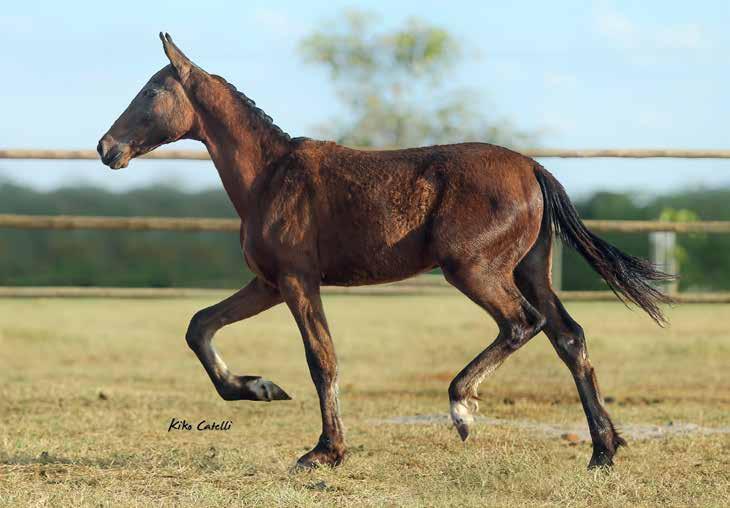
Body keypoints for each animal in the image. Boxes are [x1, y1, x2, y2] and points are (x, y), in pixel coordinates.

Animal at [98, 34, 672, 468]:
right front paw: (259, 388)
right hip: (530, 270)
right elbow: (200, 326)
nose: (107, 148)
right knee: (568, 337)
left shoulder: (297, 280)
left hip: (473, 269)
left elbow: (321, 357)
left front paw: (325, 452)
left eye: (151, 91)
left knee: (522, 323)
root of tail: (532, 167)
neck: (270, 174)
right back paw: (603, 450)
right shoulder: (267, 282)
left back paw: (462, 407)